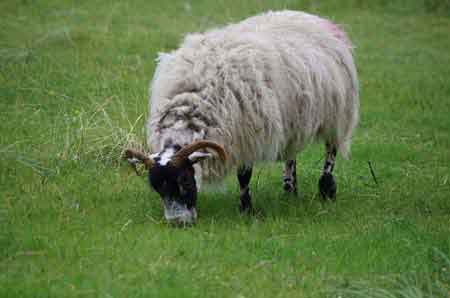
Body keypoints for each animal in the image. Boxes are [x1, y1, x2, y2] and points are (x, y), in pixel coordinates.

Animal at [125, 10, 358, 225]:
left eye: (185, 181)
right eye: (157, 189)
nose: (177, 223)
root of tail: (311, 16)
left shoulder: (246, 137)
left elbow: (244, 176)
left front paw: (246, 209)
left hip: (338, 112)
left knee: (331, 149)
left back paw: (326, 190)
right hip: (293, 118)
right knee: (291, 155)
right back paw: (289, 190)